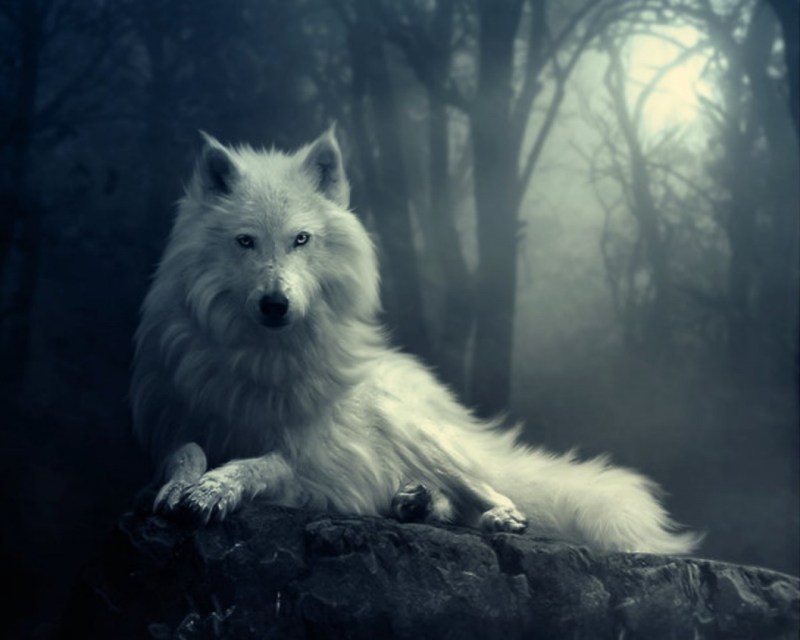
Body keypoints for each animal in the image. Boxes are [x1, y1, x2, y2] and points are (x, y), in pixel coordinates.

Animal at [131, 129, 699, 554]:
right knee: (443, 501)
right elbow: (185, 451)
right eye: (245, 241)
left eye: (301, 240)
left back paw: (495, 517)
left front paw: (215, 488)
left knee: (495, 492)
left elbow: (261, 463)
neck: (262, 358)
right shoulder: (172, 424)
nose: (276, 304)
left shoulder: (314, 460)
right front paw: (181, 486)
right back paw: (414, 502)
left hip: (420, 434)